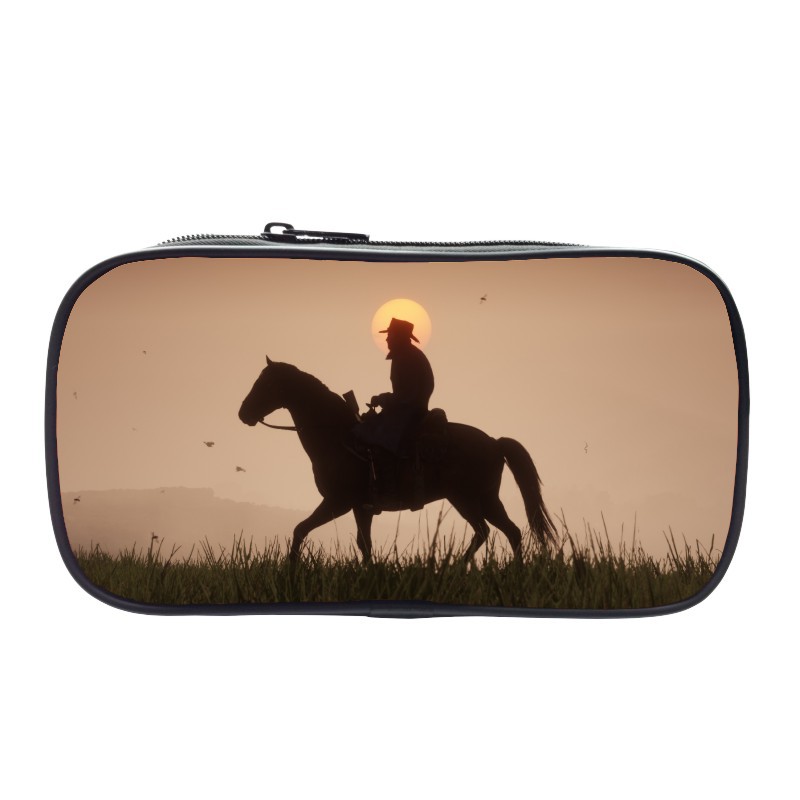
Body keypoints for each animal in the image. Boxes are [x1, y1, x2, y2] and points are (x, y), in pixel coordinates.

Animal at [238, 357, 557, 562]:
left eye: (266, 385)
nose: (243, 413)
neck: (337, 437)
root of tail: (494, 441)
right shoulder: (360, 507)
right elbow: (364, 545)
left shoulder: (337, 502)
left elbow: (300, 529)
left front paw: (290, 569)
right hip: (487, 499)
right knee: (511, 532)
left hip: (465, 498)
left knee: (485, 531)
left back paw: (453, 566)